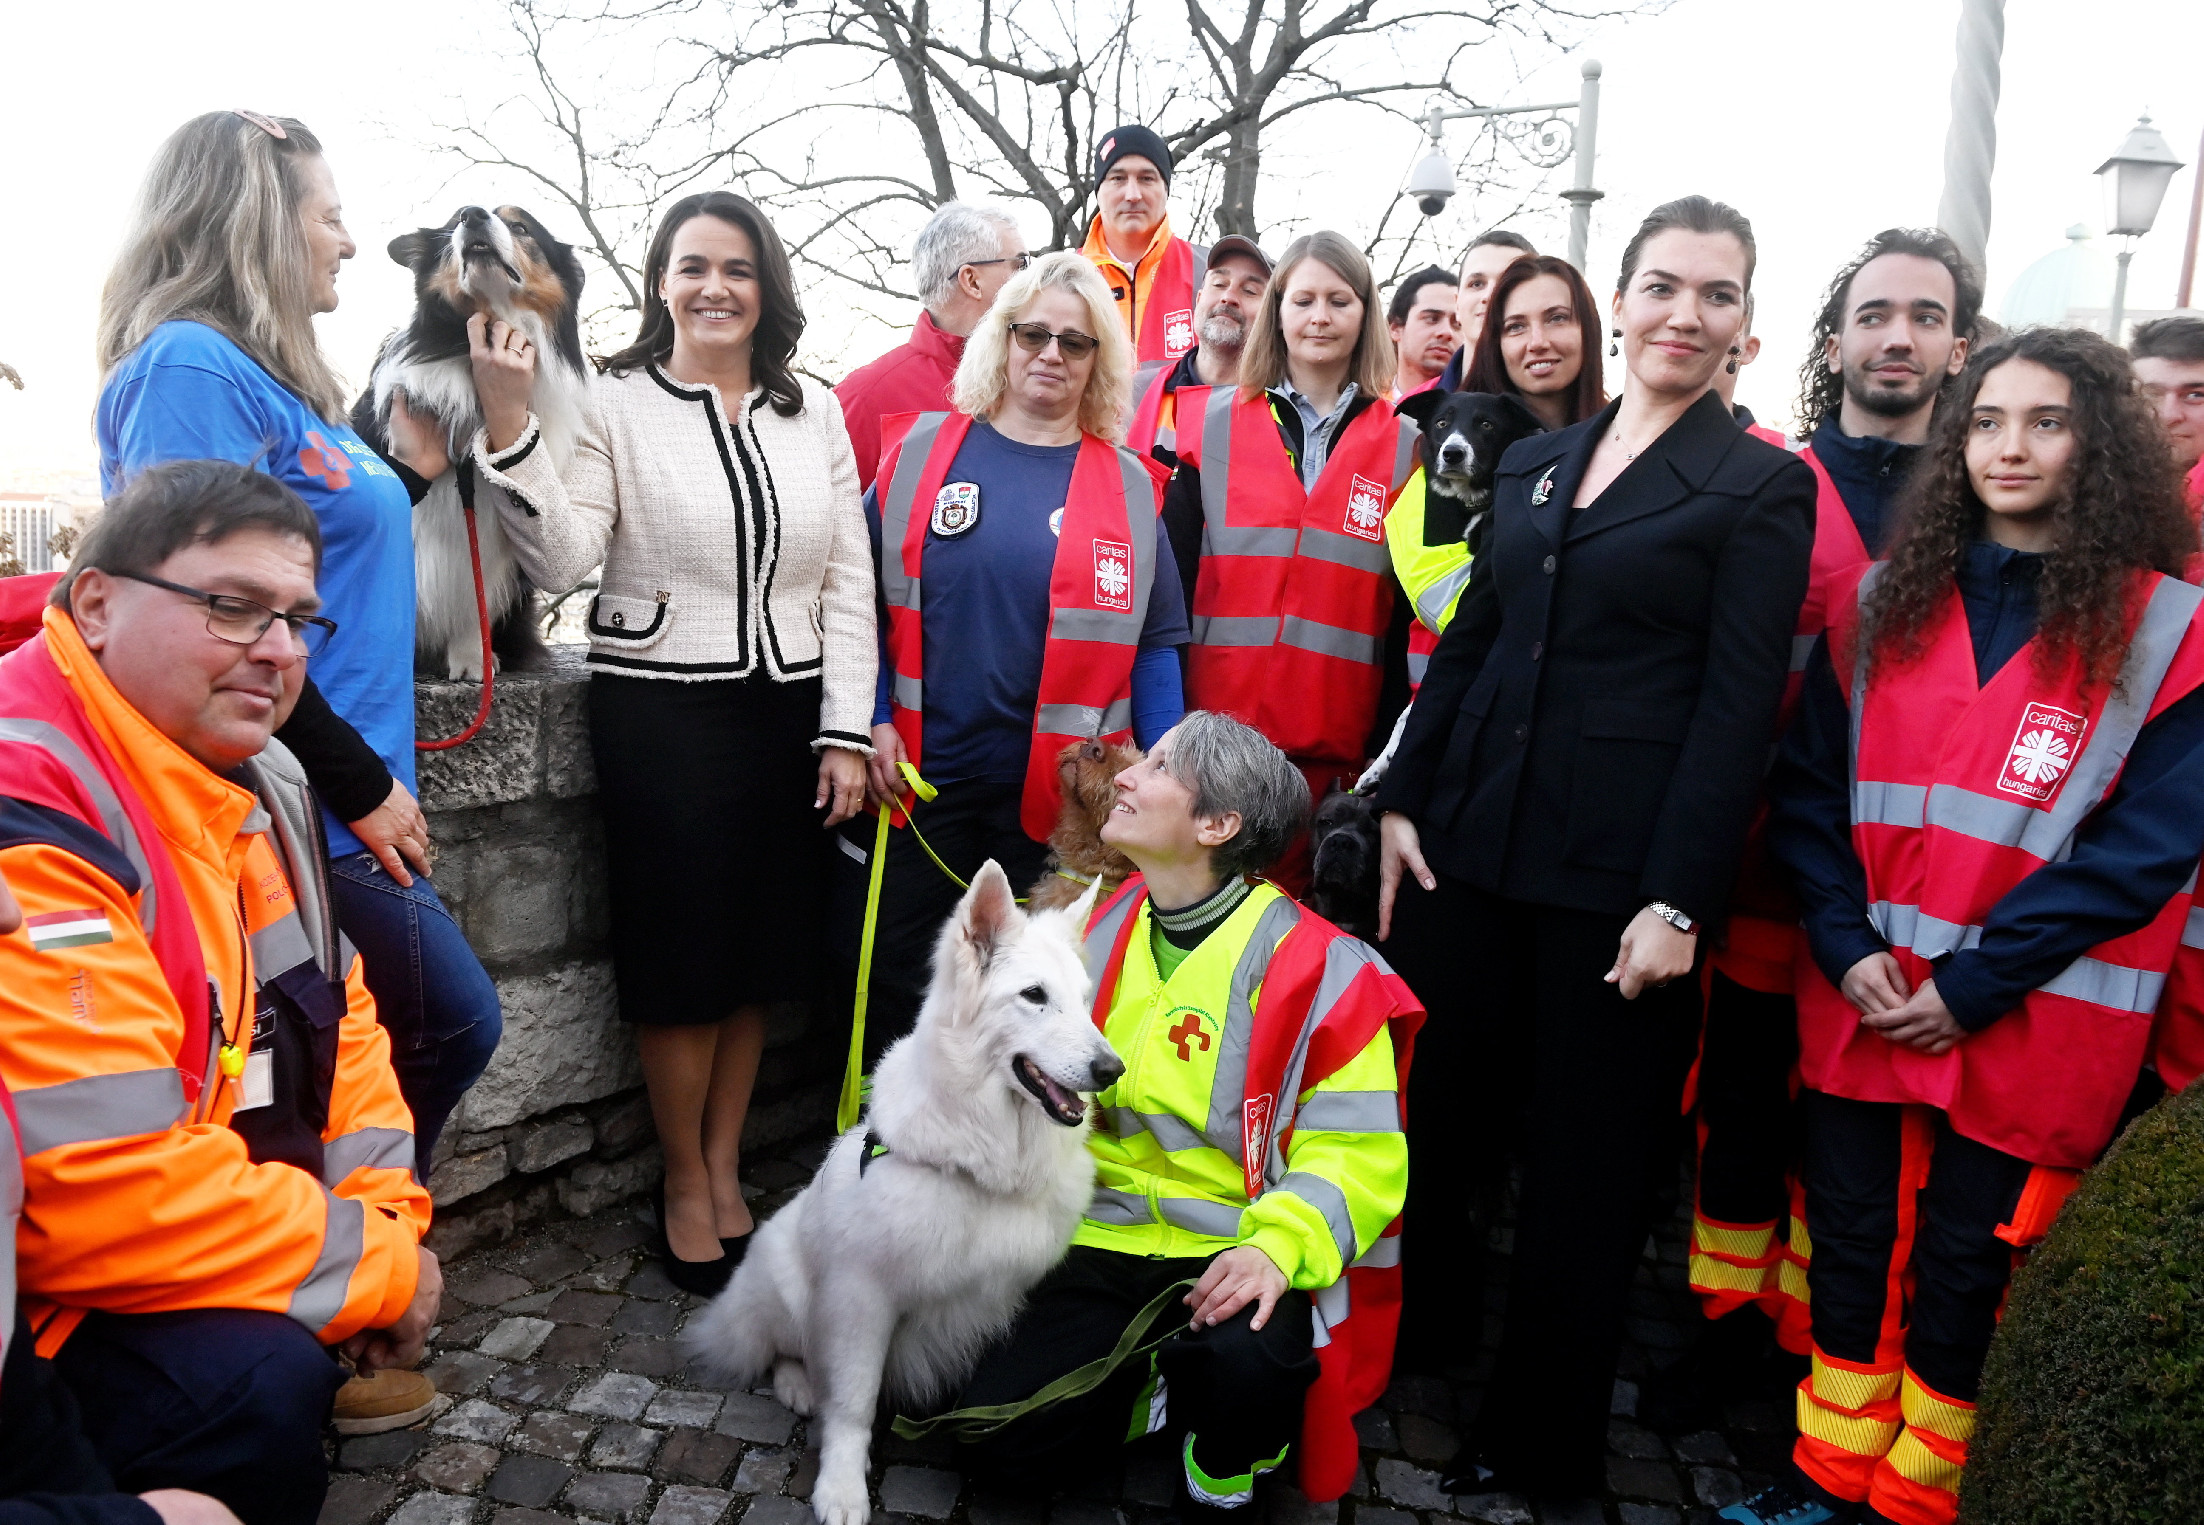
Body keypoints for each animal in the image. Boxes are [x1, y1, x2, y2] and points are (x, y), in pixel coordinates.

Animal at [348, 202, 586, 678]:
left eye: (521, 226)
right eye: (456, 217)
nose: (473, 215)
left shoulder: (494, 534)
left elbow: (475, 587)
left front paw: (474, 660)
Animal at [683, 863, 1119, 1516]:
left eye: (1086, 1001)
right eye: (1034, 996)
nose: (1111, 1070)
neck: (980, 1161)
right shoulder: (863, 1299)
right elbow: (854, 1403)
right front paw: (841, 1485)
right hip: (788, 1292)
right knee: (780, 1348)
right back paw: (798, 1384)